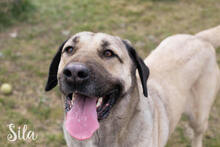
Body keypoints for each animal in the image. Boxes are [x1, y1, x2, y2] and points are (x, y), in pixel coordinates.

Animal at [45, 25, 220, 146]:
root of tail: (199, 38)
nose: (74, 73)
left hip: (199, 116)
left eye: (108, 53)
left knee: (198, 134)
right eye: (69, 49)